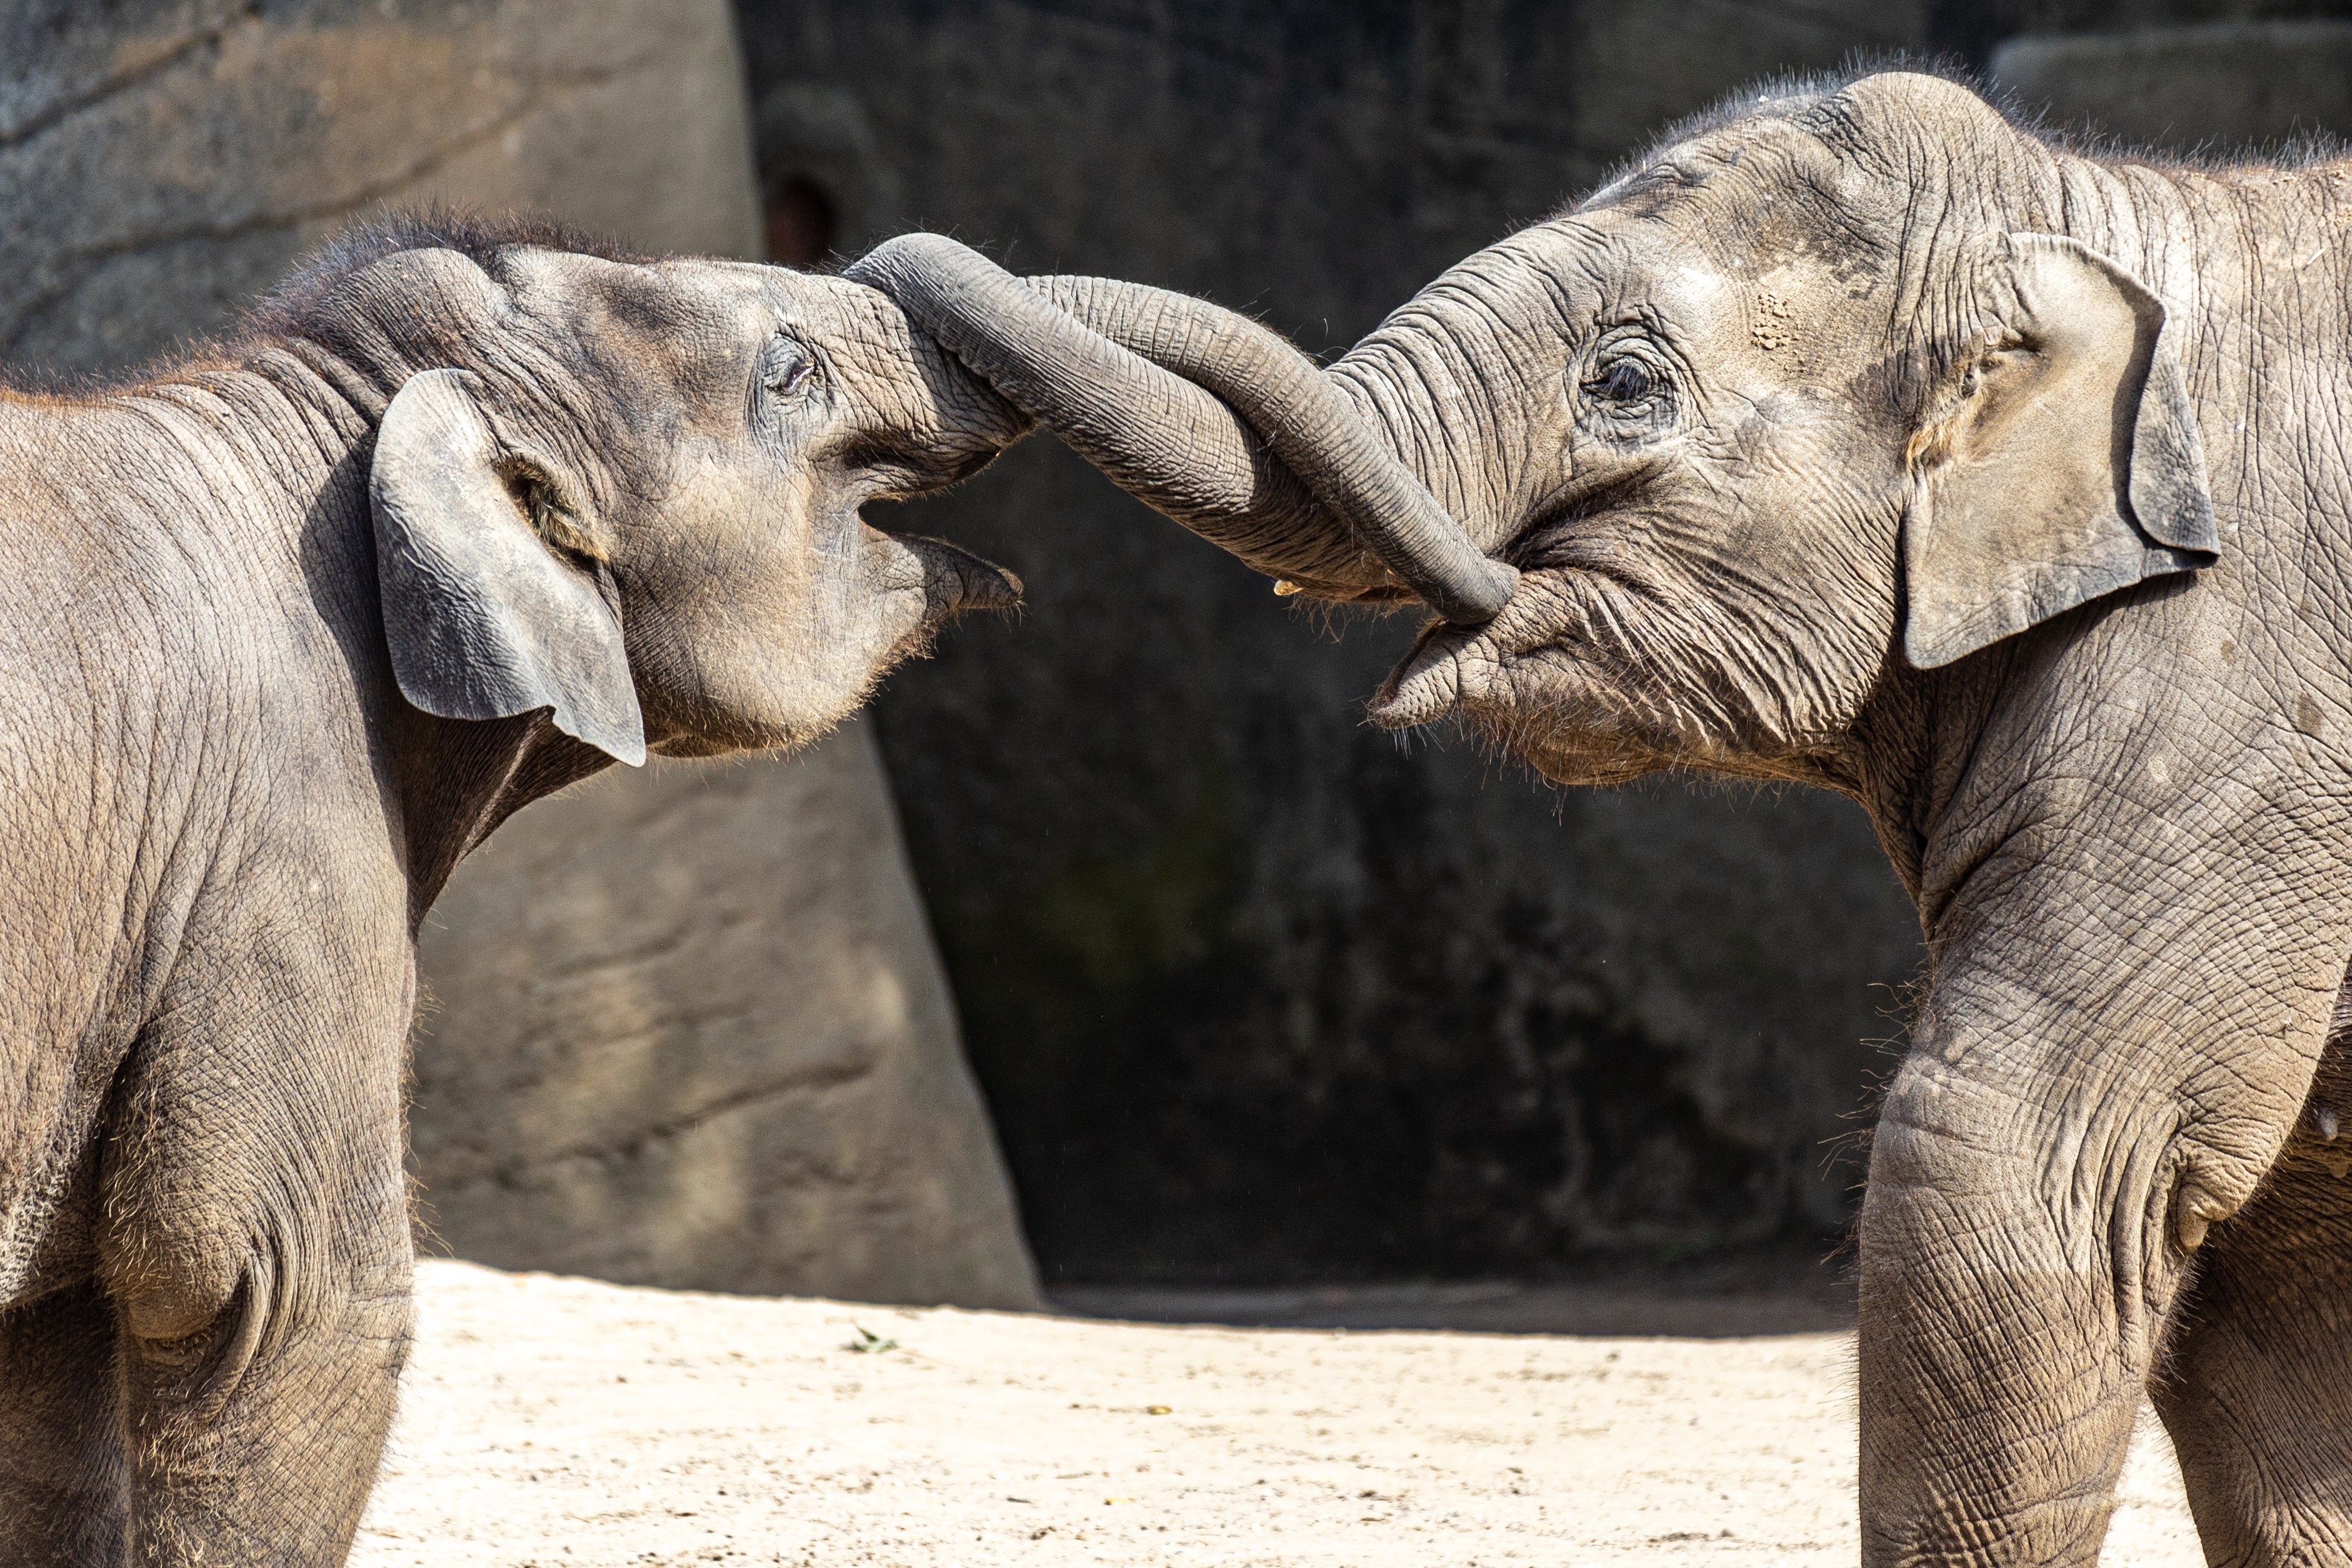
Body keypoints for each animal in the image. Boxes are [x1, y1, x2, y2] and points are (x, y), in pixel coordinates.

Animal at [856, 68, 2352, 1568]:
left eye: (1624, 383)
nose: (877, 276)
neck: (2100, 211)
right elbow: (2279, 1275)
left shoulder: (2233, 697)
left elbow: (2020, 1153)